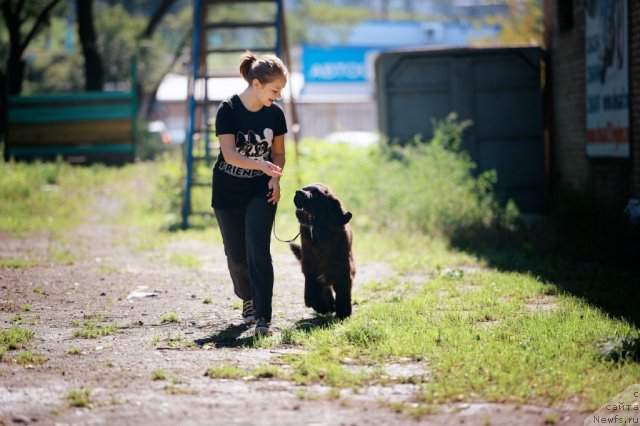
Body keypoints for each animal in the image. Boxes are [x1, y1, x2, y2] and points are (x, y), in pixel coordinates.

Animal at [290, 181, 356, 318]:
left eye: (316, 194)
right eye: (304, 188)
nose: (298, 192)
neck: (318, 233)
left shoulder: (343, 269)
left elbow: (343, 292)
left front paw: (343, 312)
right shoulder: (309, 268)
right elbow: (311, 294)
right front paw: (322, 307)